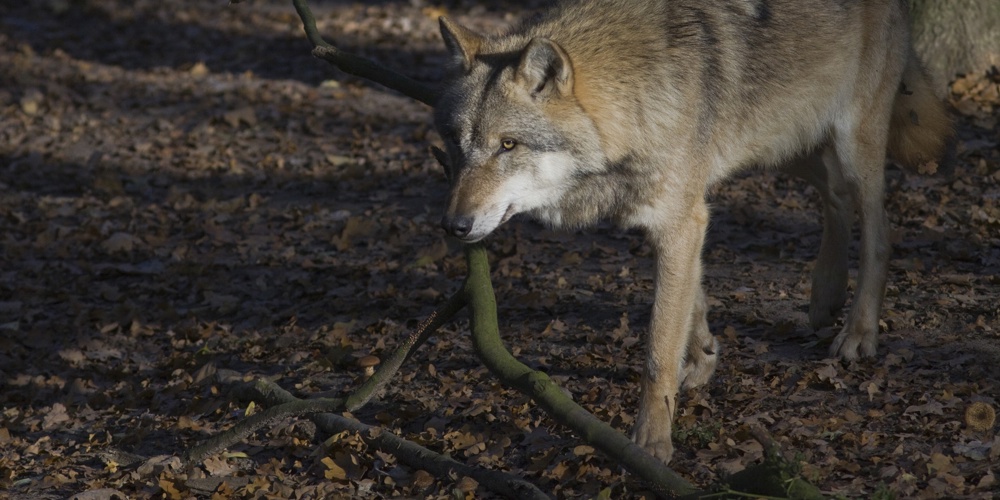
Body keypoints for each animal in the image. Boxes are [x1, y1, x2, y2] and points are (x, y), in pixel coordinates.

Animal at [433, 0, 951, 462]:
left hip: (849, 143)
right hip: (784, 142)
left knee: (880, 229)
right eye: (455, 144)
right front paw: (702, 357)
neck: (636, 93)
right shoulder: (680, 218)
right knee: (836, 195)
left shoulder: (682, 219)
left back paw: (859, 332)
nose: (454, 225)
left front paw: (650, 443)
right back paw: (826, 294)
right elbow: (693, 301)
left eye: (508, 145)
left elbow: (658, 350)